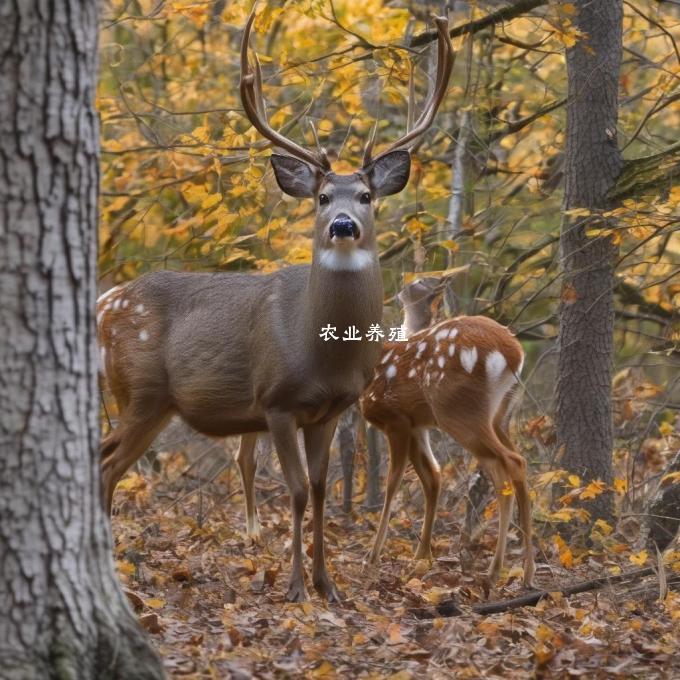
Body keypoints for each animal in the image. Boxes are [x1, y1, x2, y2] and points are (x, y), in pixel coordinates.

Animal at [95, 7, 454, 596]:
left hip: (149, 400)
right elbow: (297, 490)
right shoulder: (277, 401)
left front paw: (328, 584)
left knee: (104, 459)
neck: (321, 351)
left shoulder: (331, 409)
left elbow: (324, 490)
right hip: (142, 390)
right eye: (322, 196)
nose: (343, 225)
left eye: (367, 196)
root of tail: (104, 304)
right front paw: (294, 587)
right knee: (106, 463)